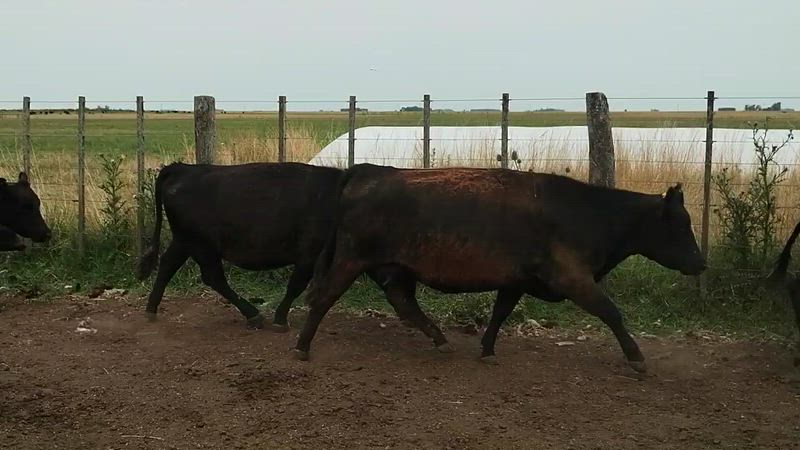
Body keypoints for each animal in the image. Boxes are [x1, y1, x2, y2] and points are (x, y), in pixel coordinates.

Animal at [136, 162, 452, 350]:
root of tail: (185, 168)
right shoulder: (311, 255)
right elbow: (296, 286)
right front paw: (280, 319)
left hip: (185, 241)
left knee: (168, 265)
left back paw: (152, 309)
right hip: (199, 244)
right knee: (212, 276)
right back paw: (253, 314)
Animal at [293, 164, 706, 373]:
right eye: (680, 224)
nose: (701, 262)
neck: (589, 213)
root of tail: (367, 171)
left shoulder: (517, 279)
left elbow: (500, 312)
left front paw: (488, 348)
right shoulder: (572, 277)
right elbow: (611, 312)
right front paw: (636, 357)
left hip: (393, 265)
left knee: (403, 301)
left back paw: (440, 339)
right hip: (351, 258)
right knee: (324, 297)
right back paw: (301, 346)